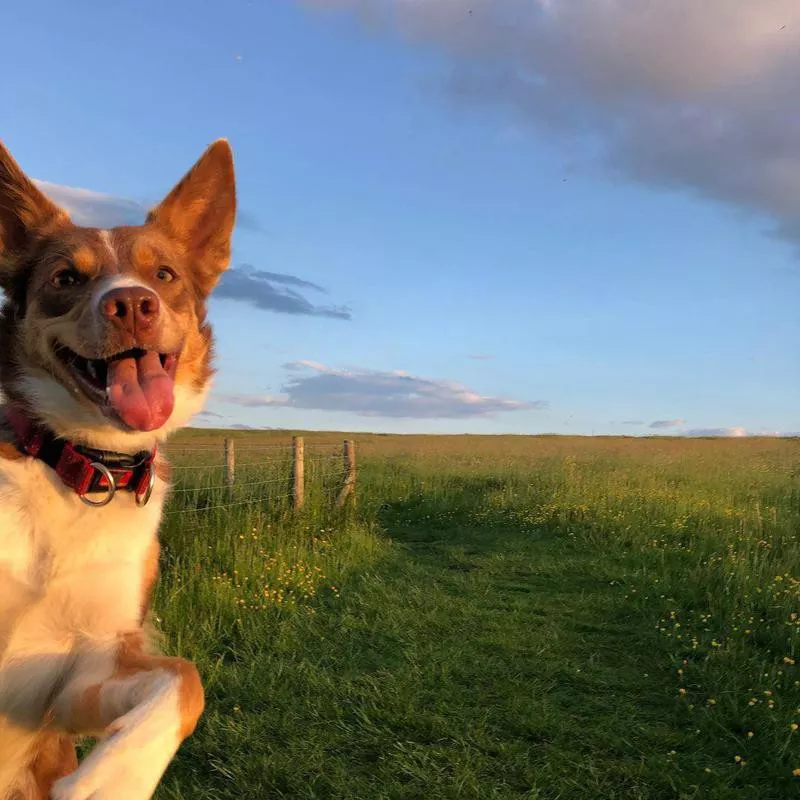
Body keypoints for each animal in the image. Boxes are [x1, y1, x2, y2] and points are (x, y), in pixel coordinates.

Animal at [0, 141, 236, 796]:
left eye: (165, 275)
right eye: (66, 278)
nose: (131, 304)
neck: (81, 469)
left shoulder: (80, 670)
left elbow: (184, 681)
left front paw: (107, 781)